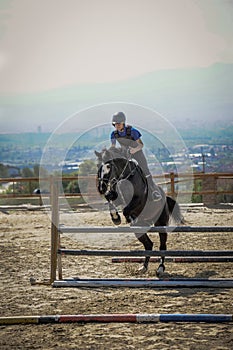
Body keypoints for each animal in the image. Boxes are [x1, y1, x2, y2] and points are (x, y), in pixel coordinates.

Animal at [94, 147, 184, 276]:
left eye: (109, 167)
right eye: (98, 165)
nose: (101, 187)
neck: (125, 176)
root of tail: (165, 198)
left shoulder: (138, 199)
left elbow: (126, 209)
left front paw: (126, 217)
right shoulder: (117, 197)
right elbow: (110, 199)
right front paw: (116, 218)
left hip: (161, 223)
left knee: (162, 245)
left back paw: (160, 268)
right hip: (139, 231)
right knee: (148, 245)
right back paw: (144, 267)